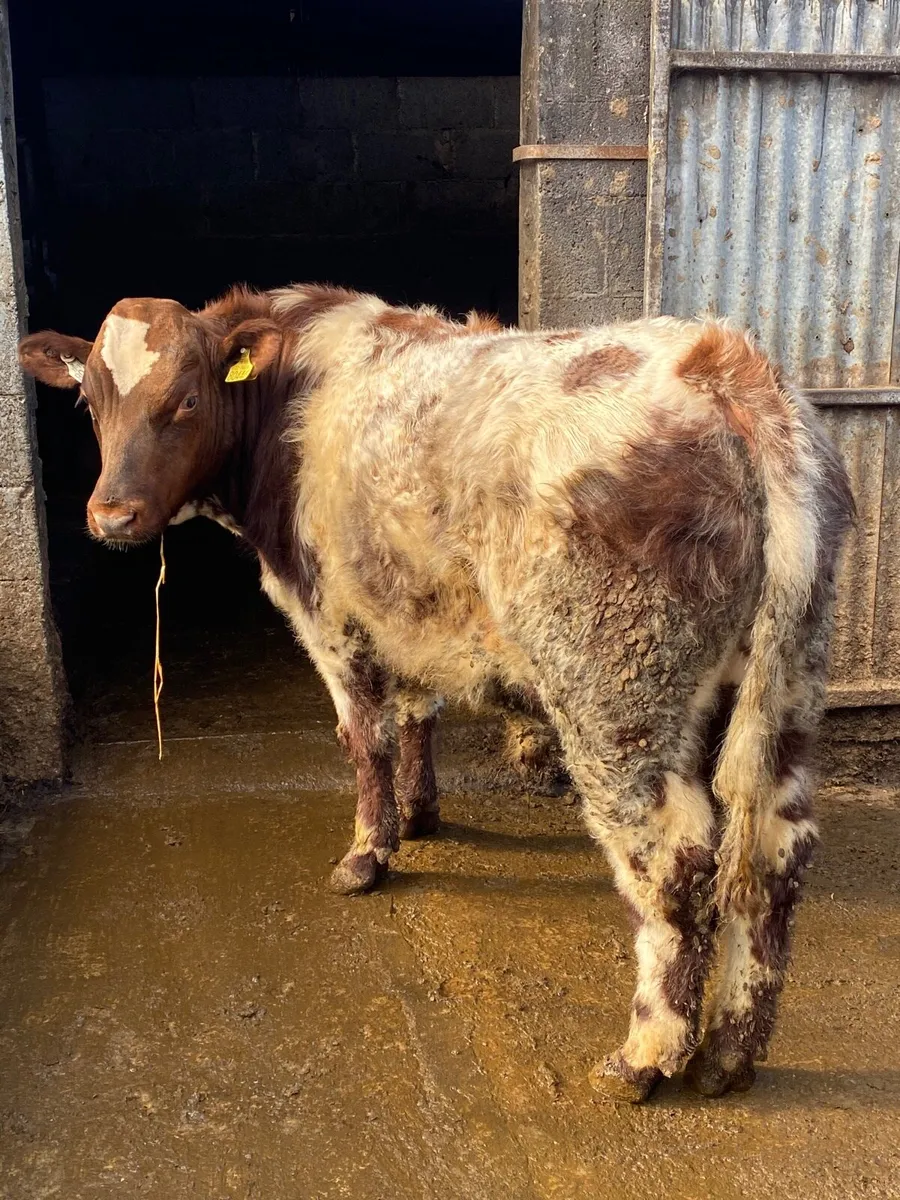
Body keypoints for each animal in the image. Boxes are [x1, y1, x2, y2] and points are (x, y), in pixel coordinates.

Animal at [19, 285, 853, 1103]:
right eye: (89, 400)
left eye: (187, 399)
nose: (111, 514)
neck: (289, 390)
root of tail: (725, 366)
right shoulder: (410, 605)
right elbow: (418, 711)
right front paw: (419, 815)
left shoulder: (329, 613)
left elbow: (366, 737)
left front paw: (367, 853)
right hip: (785, 679)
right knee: (774, 849)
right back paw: (732, 1052)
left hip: (616, 692)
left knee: (674, 862)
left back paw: (644, 1056)